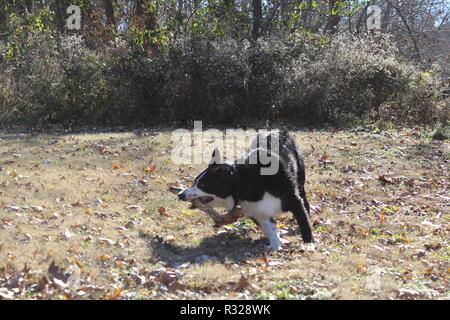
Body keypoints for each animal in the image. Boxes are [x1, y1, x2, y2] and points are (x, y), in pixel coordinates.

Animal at [178, 129, 314, 249]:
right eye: (195, 182)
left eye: (202, 185)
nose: (180, 194)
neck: (243, 183)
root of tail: (278, 131)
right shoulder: (258, 211)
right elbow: (271, 230)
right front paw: (276, 245)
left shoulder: (293, 200)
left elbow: (304, 223)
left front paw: (309, 244)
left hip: (300, 180)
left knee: (304, 201)